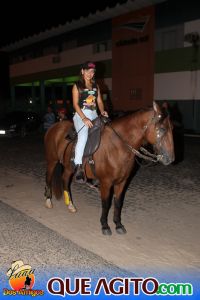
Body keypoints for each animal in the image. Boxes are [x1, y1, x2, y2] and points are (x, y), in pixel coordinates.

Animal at [43, 102, 173, 236]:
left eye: (172, 128)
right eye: (162, 129)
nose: (170, 159)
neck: (117, 146)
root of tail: (55, 126)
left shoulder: (122, 182)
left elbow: (118, 202)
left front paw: (118, 224)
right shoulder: (106, 182)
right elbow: (106, 204)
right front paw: (105, 226)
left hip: (69, 168)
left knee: (64, 179)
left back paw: (70, 205)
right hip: (52, 161)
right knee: (48, 177)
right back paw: (48, 201)